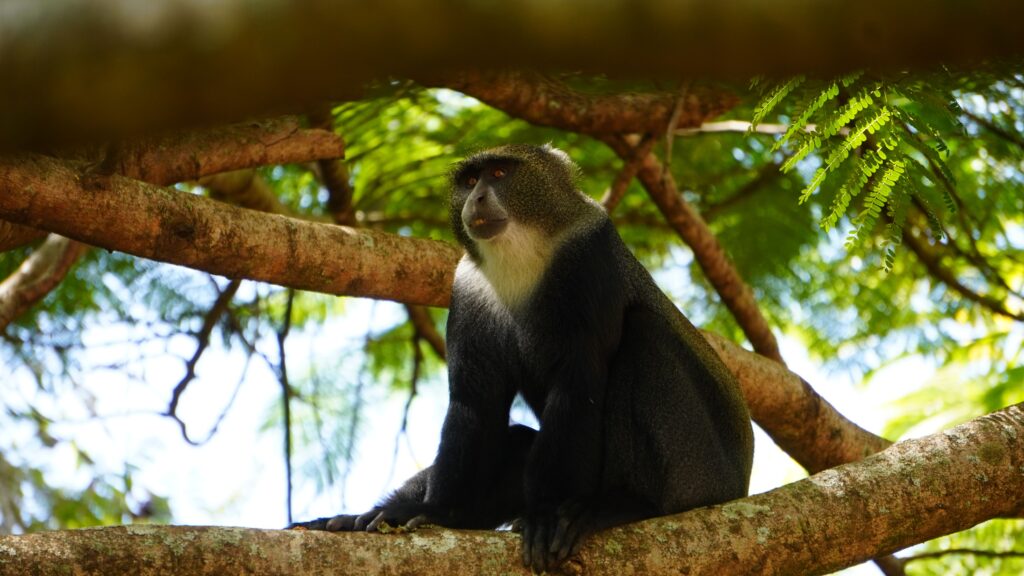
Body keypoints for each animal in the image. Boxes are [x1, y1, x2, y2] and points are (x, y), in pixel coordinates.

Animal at [292, 144, 754, 572]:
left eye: (499, 173)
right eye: (469, 180)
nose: (478, 197)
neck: (522, 258)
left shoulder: (589, 255)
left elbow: (577, 386)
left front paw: (547, 517)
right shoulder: (469, 287)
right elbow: (474, 405)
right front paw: (434, 513)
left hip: (698, 469)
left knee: (645, 334)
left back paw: (623, 504)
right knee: (517, 441)